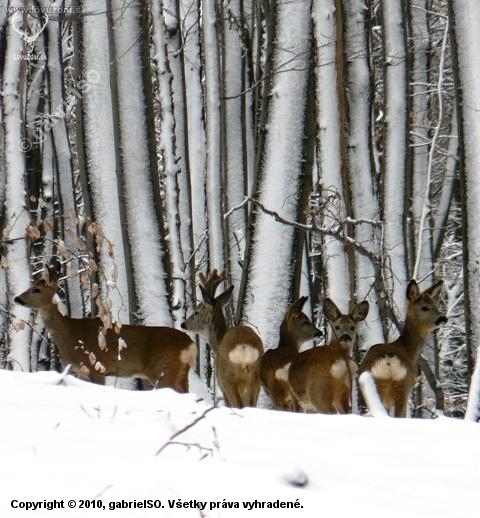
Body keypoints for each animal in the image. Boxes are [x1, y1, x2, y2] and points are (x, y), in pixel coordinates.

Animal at [14, 264, 197, 394]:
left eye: (37, 289)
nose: (17, 299)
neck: (69, 334)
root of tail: (191, 345)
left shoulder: (97, 367)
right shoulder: (82, 372)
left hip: (163, 370)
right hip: (182, 374)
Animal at [181, 272, 264, 410]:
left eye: (196, 312)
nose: (183, 324)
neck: (218, 342)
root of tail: (244, 348)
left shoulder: (222, 384)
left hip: (228, 378)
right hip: (255, 377)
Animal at [358, 280, 448, 418]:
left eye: (436, 306)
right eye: (424, 307)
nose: (443, 318)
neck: (407, 350)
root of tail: (388, 361)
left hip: (369, 389)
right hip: (401, 388)